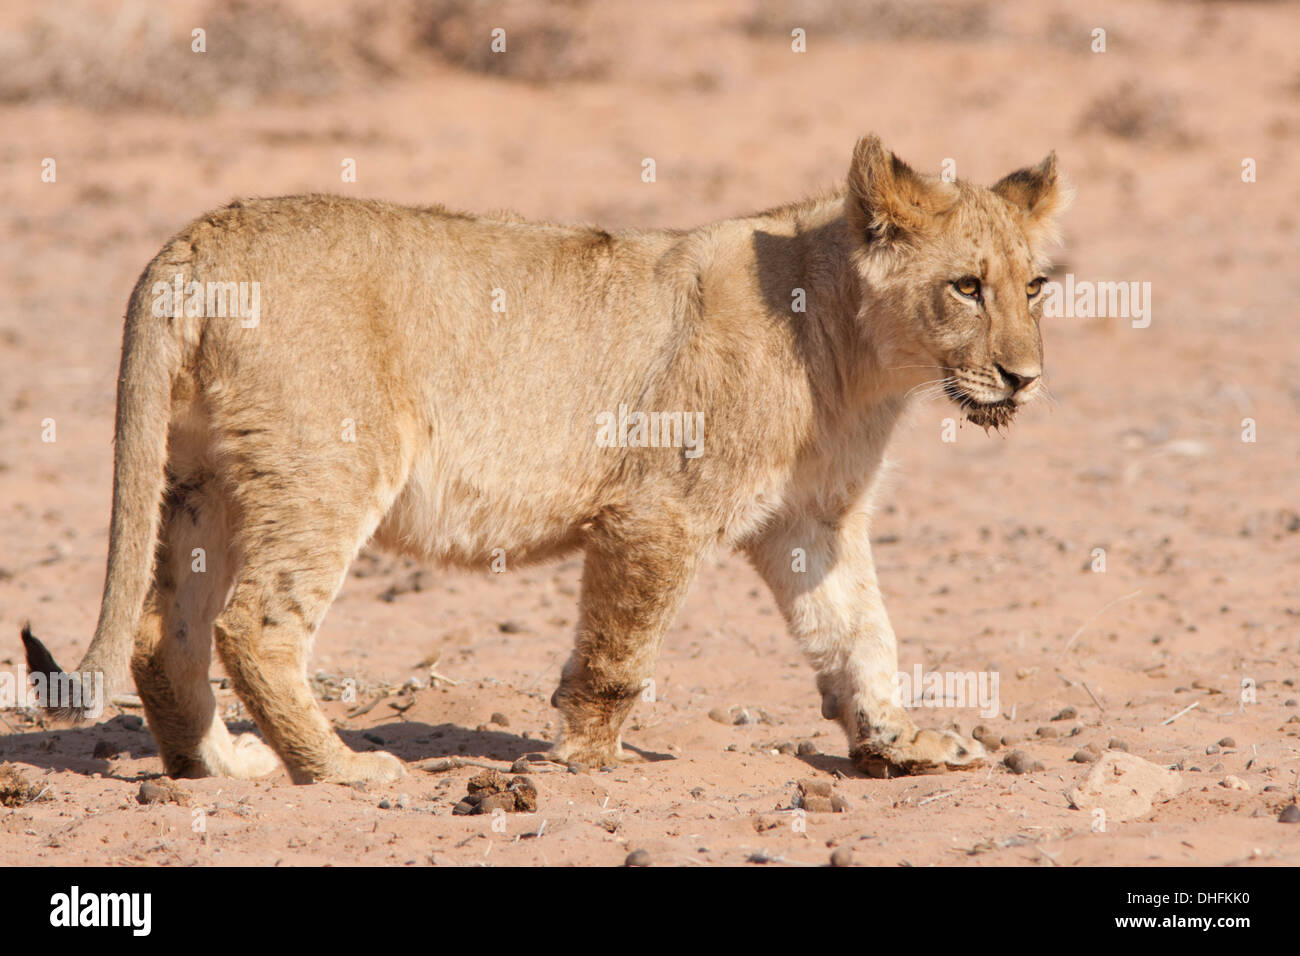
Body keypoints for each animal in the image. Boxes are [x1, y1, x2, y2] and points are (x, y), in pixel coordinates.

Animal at [21, 135, 1068, 784]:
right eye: (966, 287)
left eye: (1036, 288)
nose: (1024, 379)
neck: (859, 361)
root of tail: (196, 240)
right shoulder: (659, 508)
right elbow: (619, 650)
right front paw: (581, 760)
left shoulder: (811, 520)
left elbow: (860, 635)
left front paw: (904, 744)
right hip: (328, 469)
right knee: (256, 628)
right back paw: (343, 771)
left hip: (207, 483)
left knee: (162, 635)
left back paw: (222, 767)